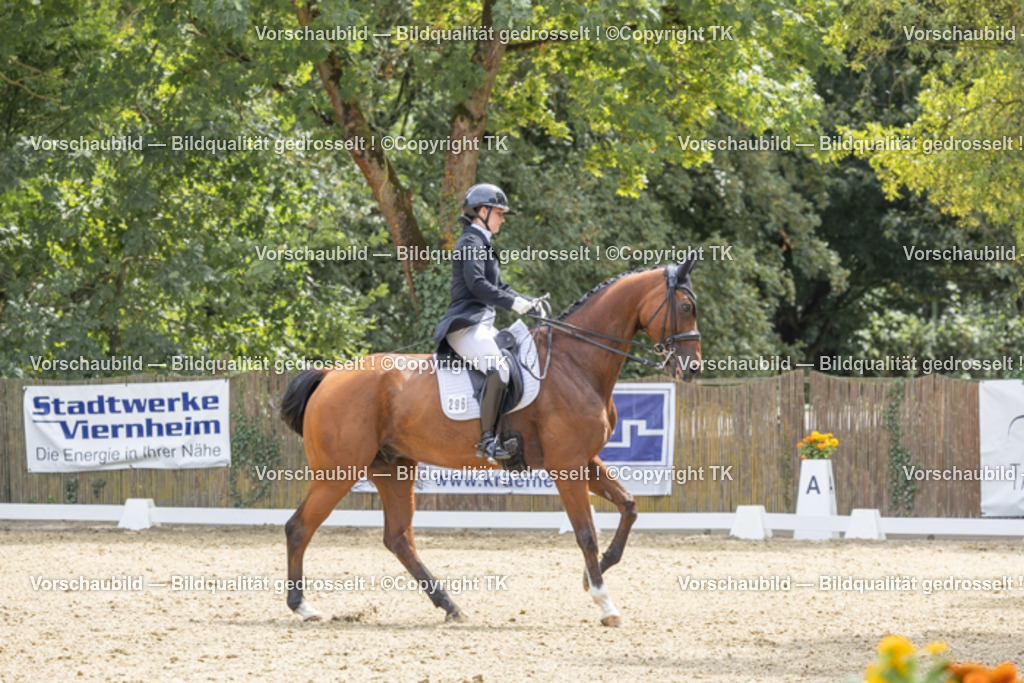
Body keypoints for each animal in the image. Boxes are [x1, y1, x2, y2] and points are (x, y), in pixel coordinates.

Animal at [279, 258, 702, 627]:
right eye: (685, 307)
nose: (693, 368)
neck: (574, 361)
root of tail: (331, 375)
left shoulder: (583, 460)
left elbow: (629, 506)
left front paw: (594, 574)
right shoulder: (566, 466)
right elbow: (586, 534)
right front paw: (604, 602)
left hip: (393, 467)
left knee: (398, 538)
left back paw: (450, 605)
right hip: (339, 471)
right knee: (299, 527)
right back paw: (303, 606)